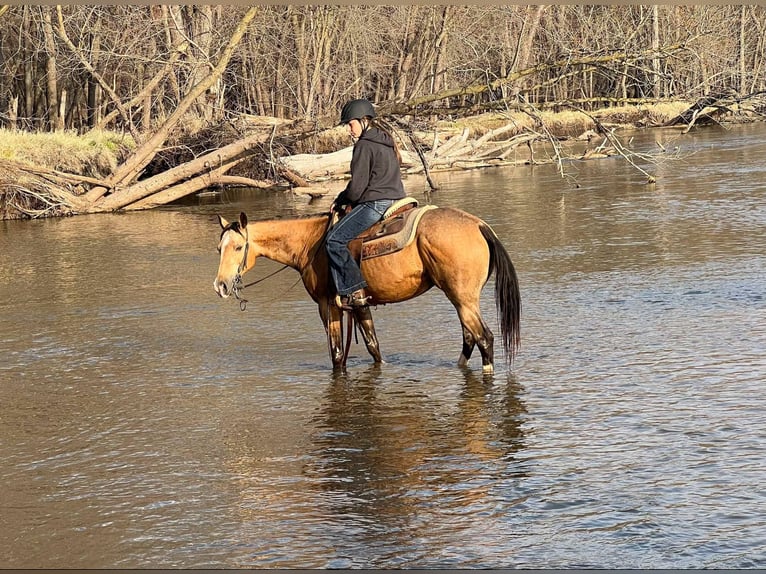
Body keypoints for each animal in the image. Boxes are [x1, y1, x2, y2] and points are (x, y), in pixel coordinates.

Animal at [213, 206, 521, 372]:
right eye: (219, 248)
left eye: (238, 247)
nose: (221, 285)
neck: (311, 244)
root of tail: (479, 225)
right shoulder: (360, 306)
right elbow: (374, 348)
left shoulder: (328, 306)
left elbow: (337, 355)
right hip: (462, 300)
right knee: (469, 339)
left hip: (463, 299)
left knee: (484, 339)